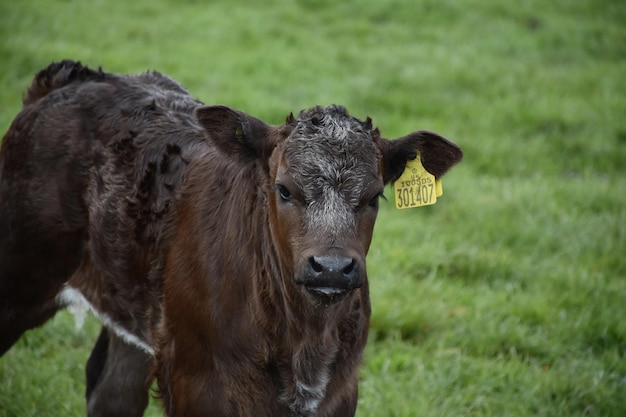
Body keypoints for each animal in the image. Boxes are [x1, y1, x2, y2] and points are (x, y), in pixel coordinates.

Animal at [0, 61, 458, 416]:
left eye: (374, 195)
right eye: (283, 189)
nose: (331, 268)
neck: (302, 345)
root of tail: (78, 76)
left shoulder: (340, 391)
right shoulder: (196, 382)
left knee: (112, 393)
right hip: (19, 274)